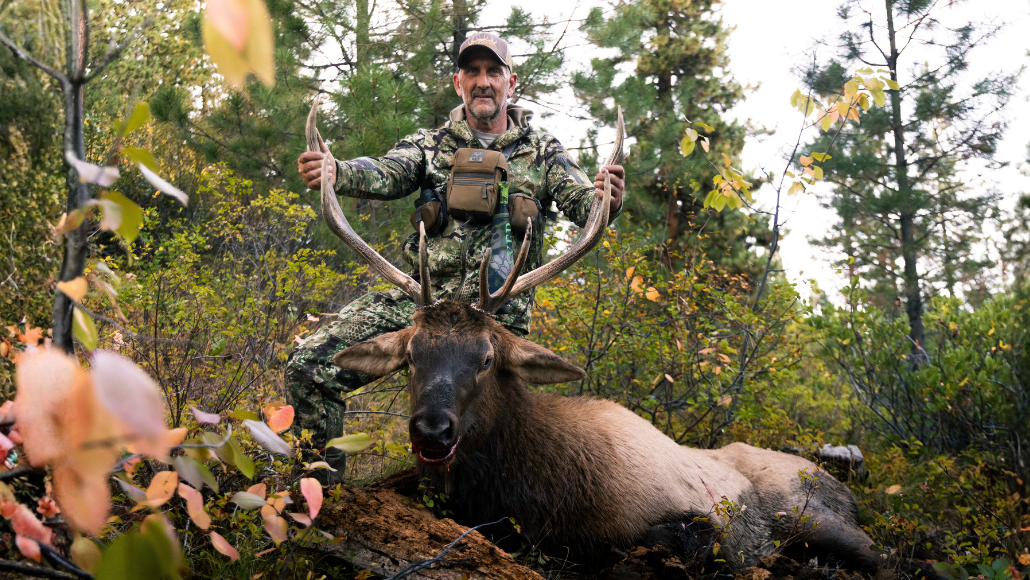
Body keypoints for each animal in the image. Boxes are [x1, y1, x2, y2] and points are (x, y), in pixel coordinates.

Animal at [306, 101, 881, 571]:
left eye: (488, 357)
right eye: (410, 355)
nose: (432, 429)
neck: (527, 492)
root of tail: (839, 482)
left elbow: (684, 539)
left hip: (816, 515)